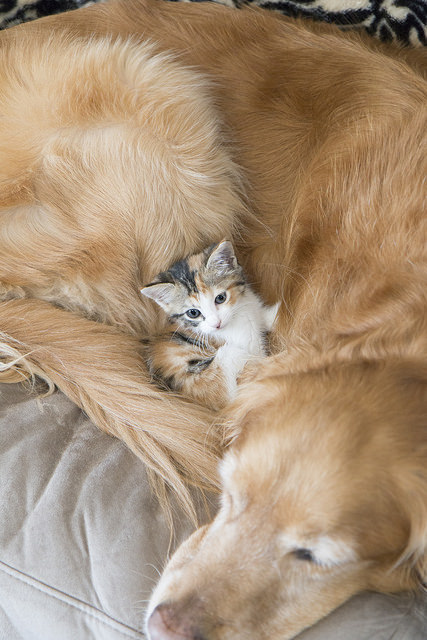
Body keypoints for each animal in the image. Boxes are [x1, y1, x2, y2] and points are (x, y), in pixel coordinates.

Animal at [142, 242, 280, 408]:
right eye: (193, 313)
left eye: (220, 298)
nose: (217, 323)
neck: (239, 314)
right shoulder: (249, 347)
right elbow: (259, 357)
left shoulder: (253, 307)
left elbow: (265, 316)